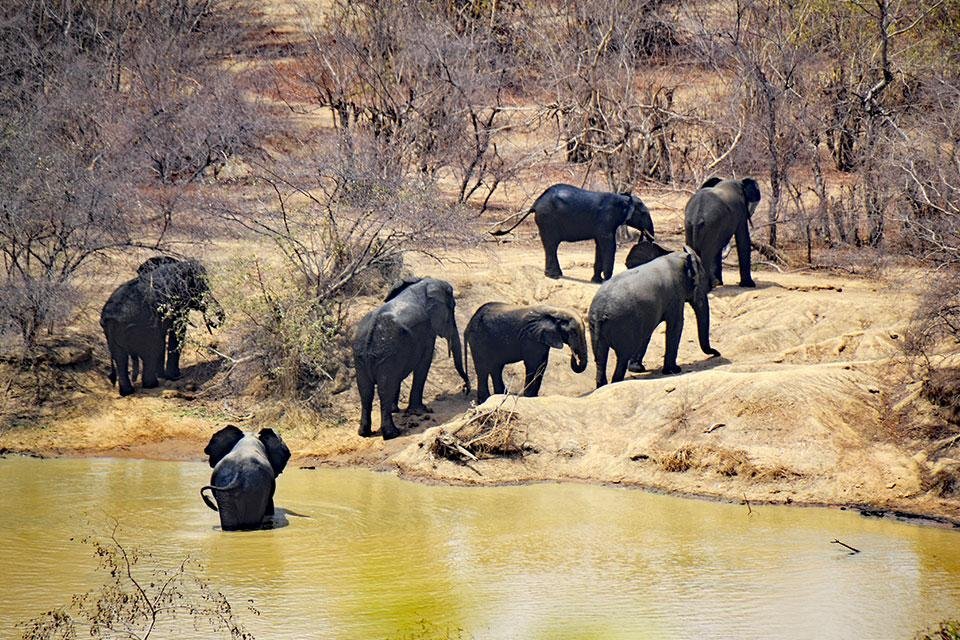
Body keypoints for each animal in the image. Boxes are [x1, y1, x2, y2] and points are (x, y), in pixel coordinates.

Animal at [100, 256, 225, 396]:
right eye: (203, 287)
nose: (216, 319)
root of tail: (111, 316)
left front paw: (164, 375)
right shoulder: (177, 301)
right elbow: (177, 332)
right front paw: (175, 376)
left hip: (111, 331)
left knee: (120, 358)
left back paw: (127, 392)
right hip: (139, 325)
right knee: (148, 351)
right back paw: (151, 385)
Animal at [352, 278, 472, 442]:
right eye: (452, 309)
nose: (466, 389)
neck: (422, 284)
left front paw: (396, 410)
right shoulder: (427, 331)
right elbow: (424, 363)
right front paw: (421, 410)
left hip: (362, 355)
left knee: (366, 391)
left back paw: (364, 433)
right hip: (387, 353)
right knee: (384, 389)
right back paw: (392, 434)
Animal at [492, 185, 656, 284]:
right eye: (643, 213)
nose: (647, 237)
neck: (624, 198)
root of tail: (535, 204)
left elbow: (599, 245)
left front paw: (596, 281)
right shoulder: (606, 219)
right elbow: (608, 244)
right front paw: (606, 281)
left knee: (550, 246)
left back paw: (555, 275)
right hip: (548, 219)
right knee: (552, 245)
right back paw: (554, 276)